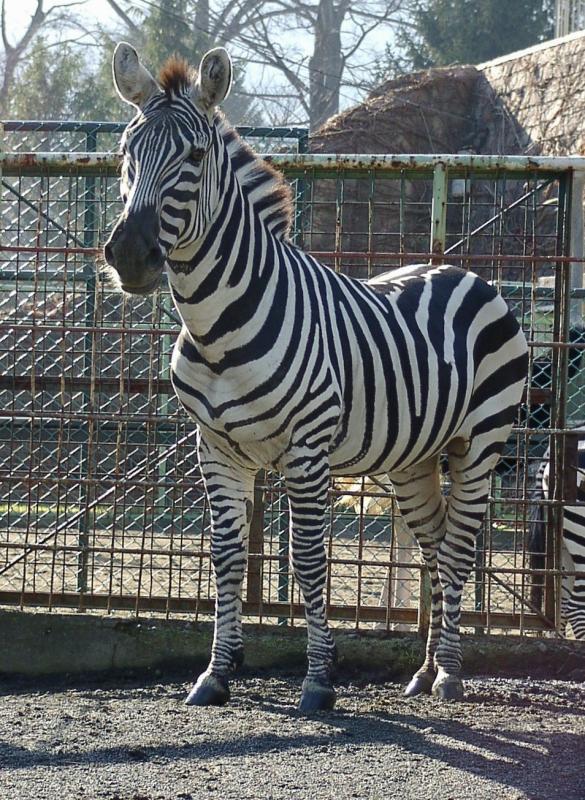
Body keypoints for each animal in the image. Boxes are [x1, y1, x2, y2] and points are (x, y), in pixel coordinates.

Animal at [102, 40, 528, 708]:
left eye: (194, 156)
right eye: (126, 152)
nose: (127, 257)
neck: (216, 329)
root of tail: (460, 271)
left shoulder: (306, 450)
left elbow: (307, 558)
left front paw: (320, 682)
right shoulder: (214, 447)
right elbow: (226, 557)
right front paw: (215, 674)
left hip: (479, 442)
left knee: (459, 547)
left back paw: (451, 676)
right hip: (412, 457)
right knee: (435, 545)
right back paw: (423, 671)